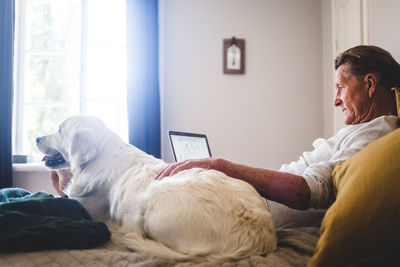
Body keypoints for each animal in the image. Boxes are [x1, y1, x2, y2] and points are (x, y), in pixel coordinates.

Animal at [36, 116, 276, 262]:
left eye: (60, 129)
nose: (37, 137)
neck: (98, 157)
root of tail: (258, 234)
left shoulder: (83, 205)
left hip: (153, 197)